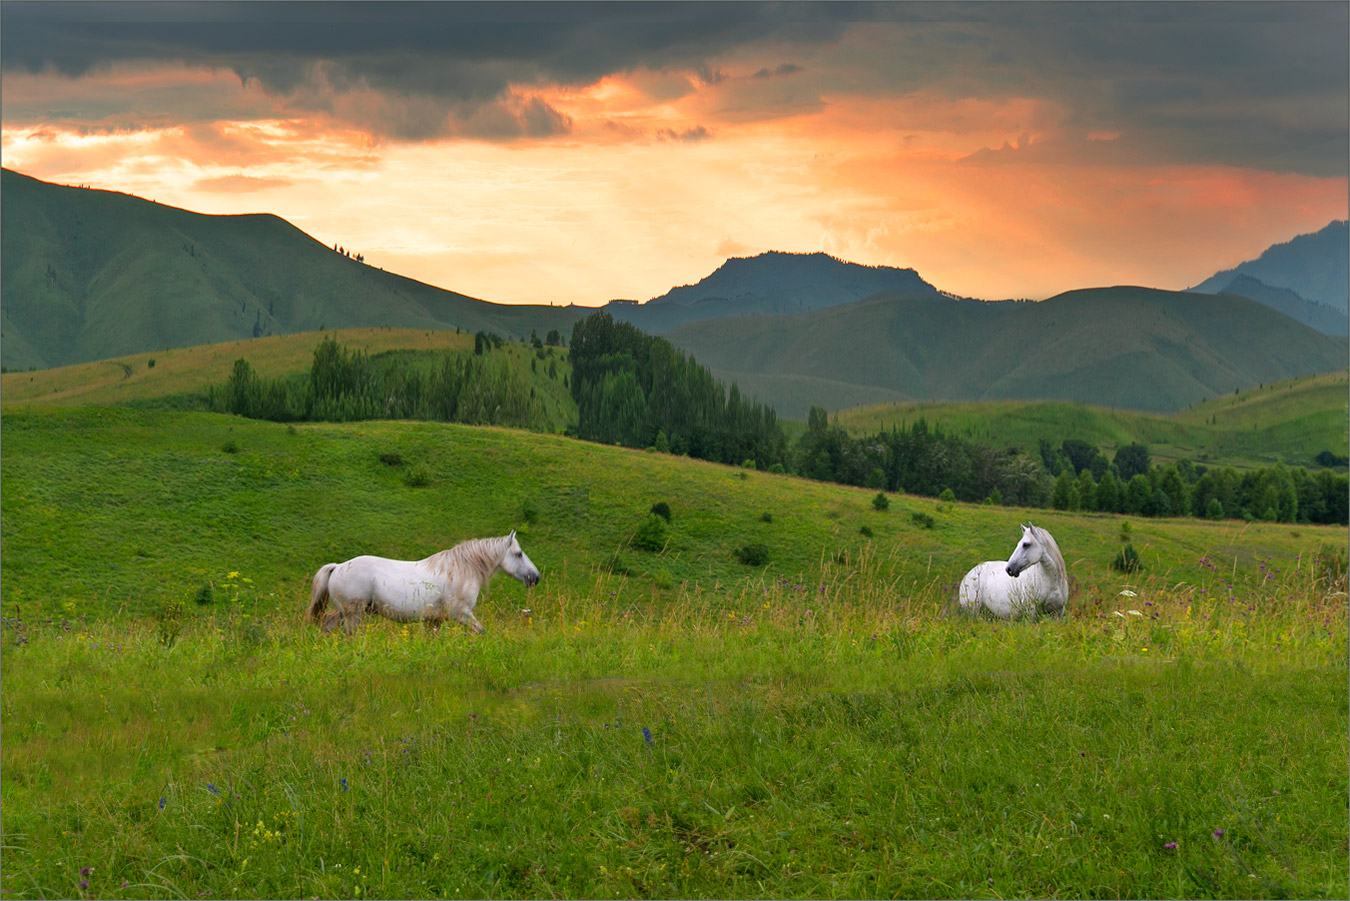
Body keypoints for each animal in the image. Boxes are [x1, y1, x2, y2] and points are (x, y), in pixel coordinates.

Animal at [307, 529, 537, 634]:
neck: (462, 569)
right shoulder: (461, 613)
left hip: (344, 612)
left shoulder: (434, 621)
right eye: (518, 554)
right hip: (353, 613)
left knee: (328, 626)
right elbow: (481, 631)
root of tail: (338, 566)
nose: (535, 577)